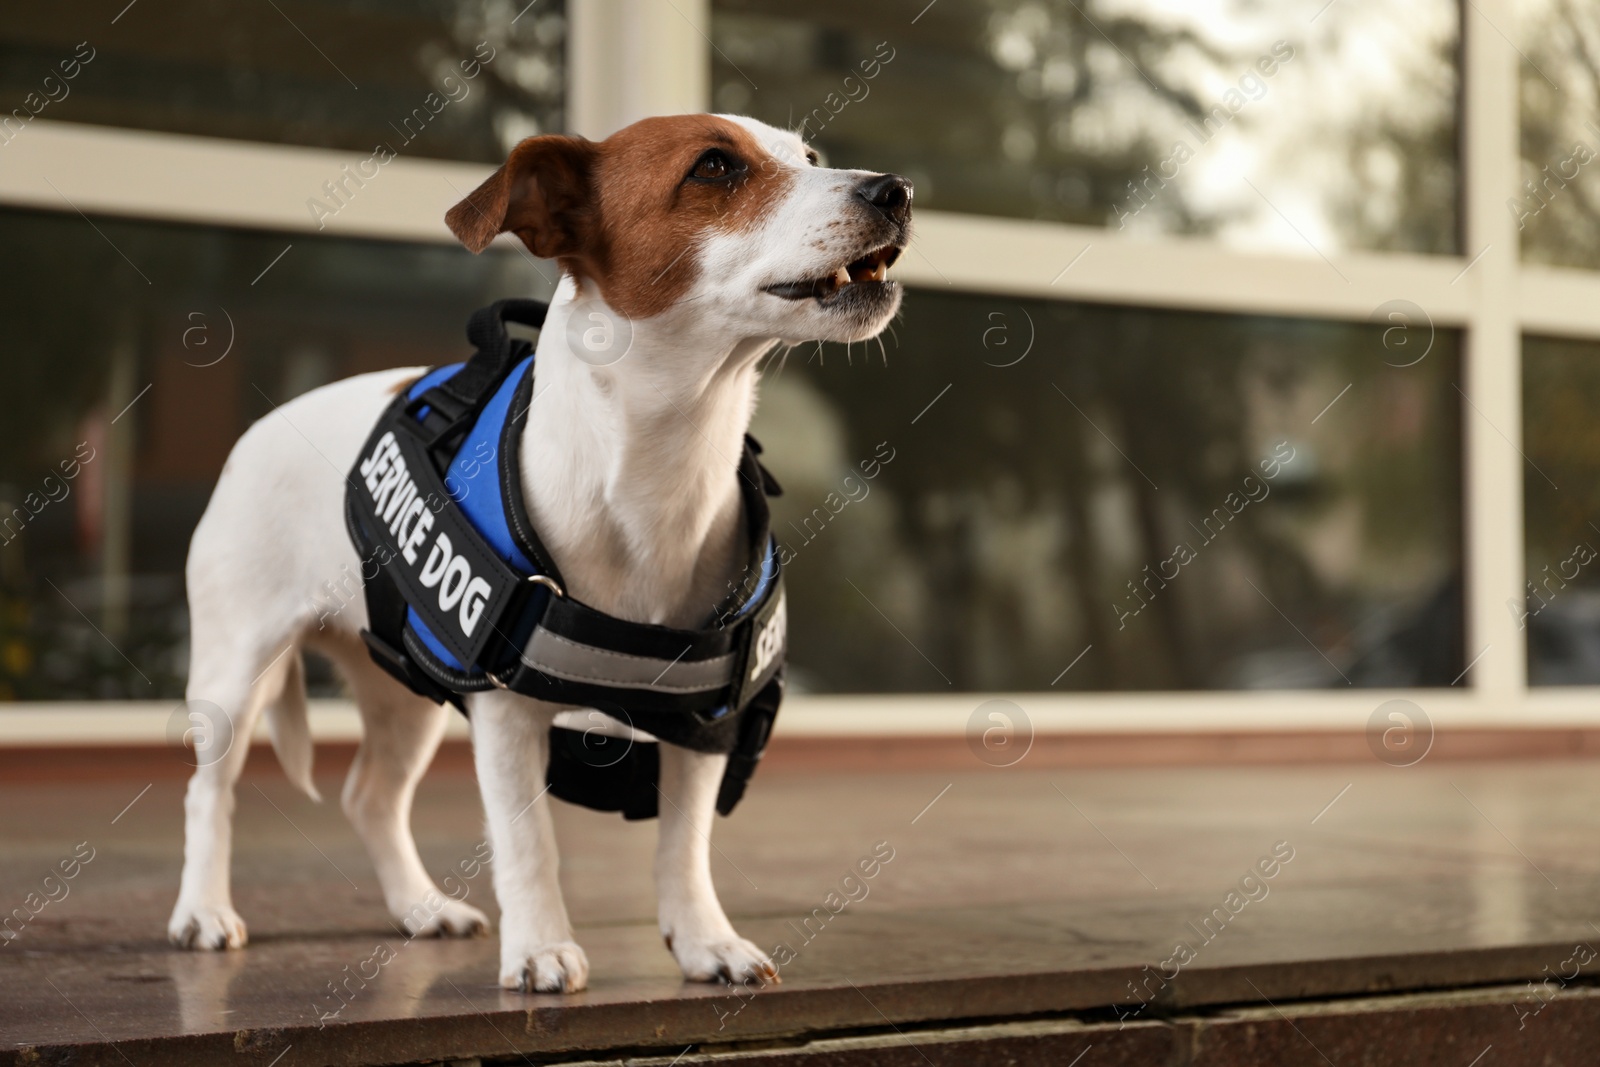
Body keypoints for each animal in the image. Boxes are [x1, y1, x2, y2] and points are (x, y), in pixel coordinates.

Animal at [165, 112, 915, 991]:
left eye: (809, 157)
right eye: (715, 167)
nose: (895, 189)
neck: (661, 469)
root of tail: (262, 425)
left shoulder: (704, 722)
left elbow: (684, 842)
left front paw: (705, 939)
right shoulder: (505, 714)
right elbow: (528, 841)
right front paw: (541, 948)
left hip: (400, 692)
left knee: (370, 797)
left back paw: (420, 906)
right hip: (235, 671)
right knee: (209, 792)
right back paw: (202, 910)